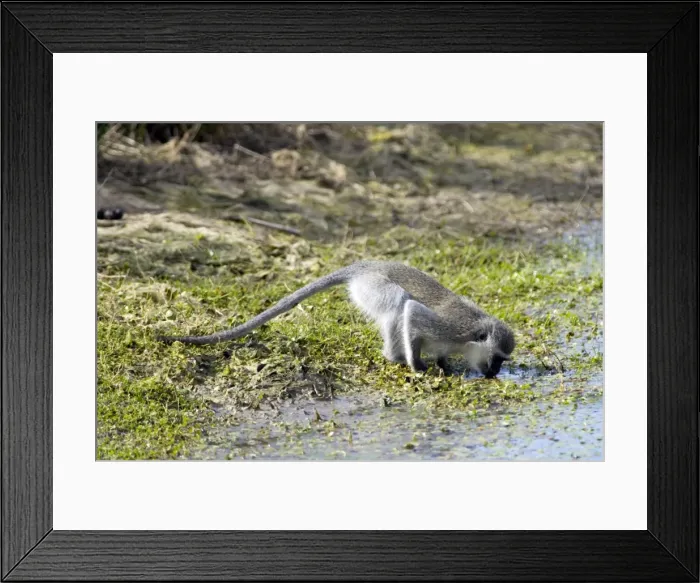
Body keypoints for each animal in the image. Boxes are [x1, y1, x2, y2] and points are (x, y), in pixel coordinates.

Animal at [157, 260, 516, 378]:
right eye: (498, 357)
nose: (496, 373)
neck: (471, 337)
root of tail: (367, 266)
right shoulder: (454, 328)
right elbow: (413, 312)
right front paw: (418, 367)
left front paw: (443, 366)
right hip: (373, 287)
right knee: (399, 303)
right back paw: (397, 358)